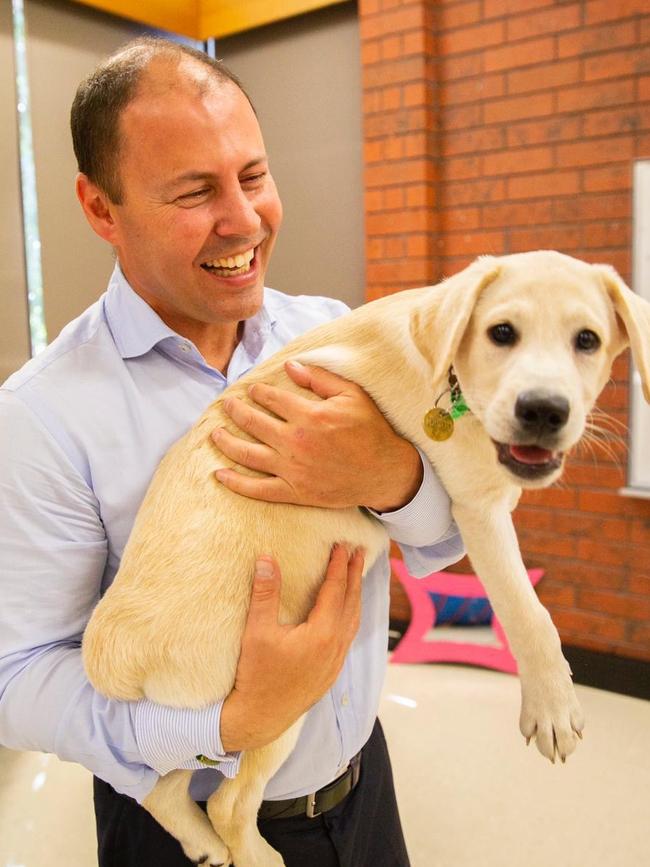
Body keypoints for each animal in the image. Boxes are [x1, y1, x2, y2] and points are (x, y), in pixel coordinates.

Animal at [81, 253, 648, 867]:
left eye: (587, 340)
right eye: (501, 333)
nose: (543, 412)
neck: (448, 370)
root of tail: (112, 650)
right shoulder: (479, 508)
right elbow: (528, 612)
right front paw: (552, 704)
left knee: (158, 787)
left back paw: (203, 844)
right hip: (271, 696)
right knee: (227, 802)